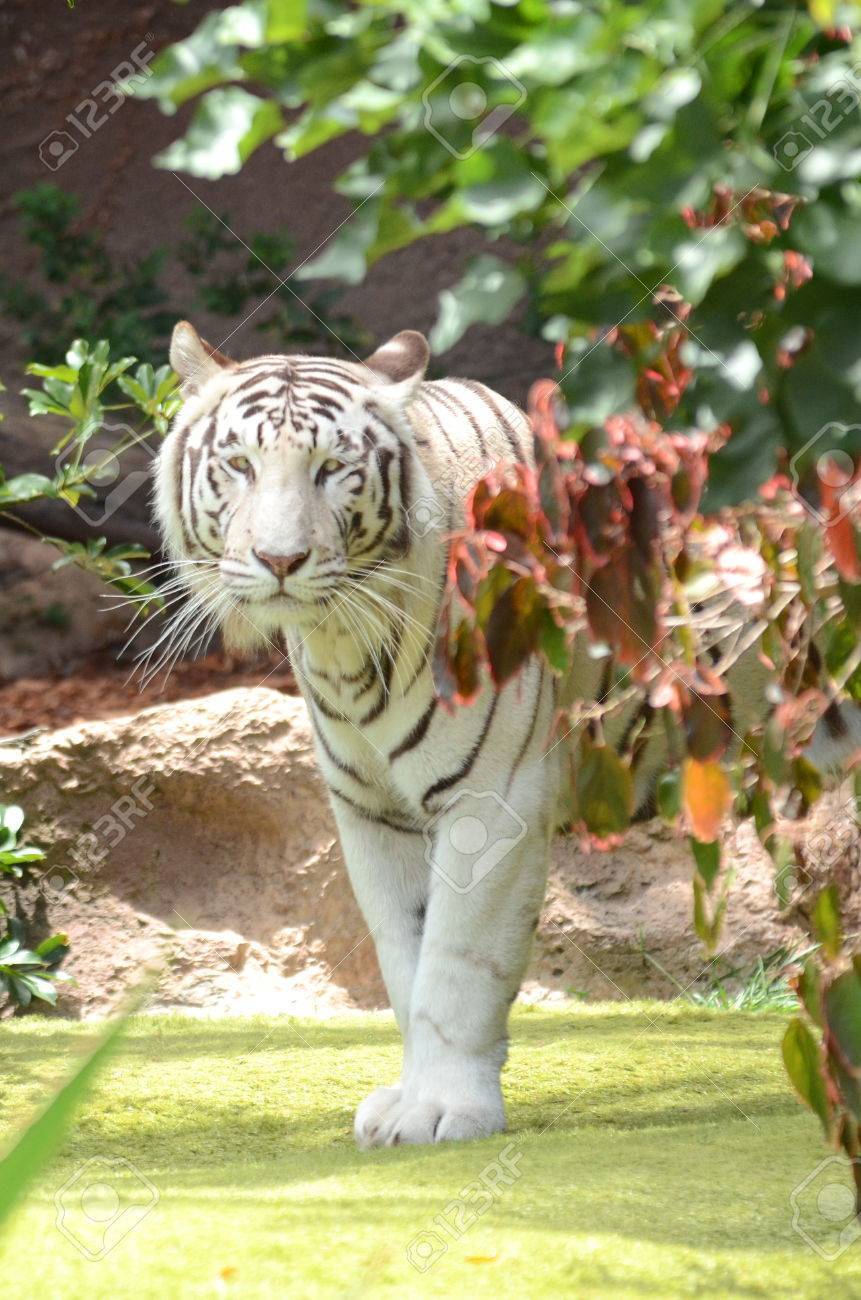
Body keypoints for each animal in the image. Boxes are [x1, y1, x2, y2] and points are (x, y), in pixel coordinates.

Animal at [156, 325, 559, 1149]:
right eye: (239, 465)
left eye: (331, 470)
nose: (280, 560)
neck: (344, 646)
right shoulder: (373, 813)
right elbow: (407, 964)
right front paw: (409, 1103)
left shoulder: (495, 802)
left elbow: (457, 967)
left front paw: (448, 1110)